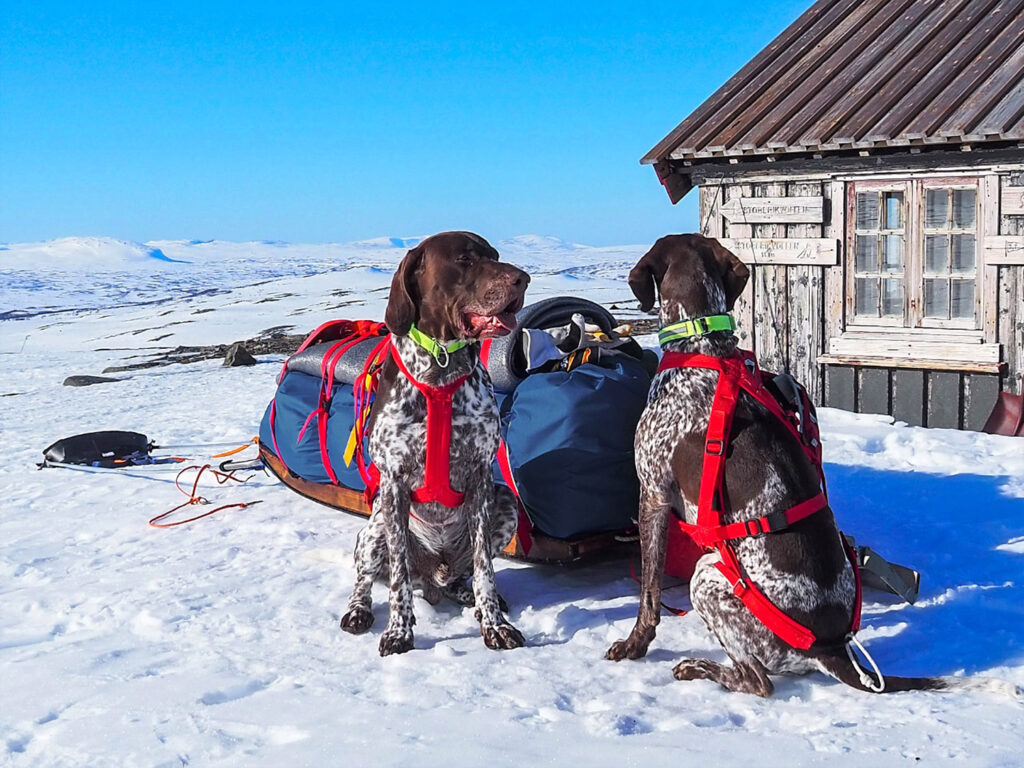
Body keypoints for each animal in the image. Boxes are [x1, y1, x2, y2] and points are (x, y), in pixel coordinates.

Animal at [342, 231, 528, 659]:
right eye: (464, 259)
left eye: (495, 255)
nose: (523, 279)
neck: (441, 368)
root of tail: (434, 576)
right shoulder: (393, 483)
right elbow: (397, 579)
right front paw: (398, 632)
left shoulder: (480, 477)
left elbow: (485, 569)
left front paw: (494, 625)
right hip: (373, 529)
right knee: (366, 579)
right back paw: (359, 610)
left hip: (505, 501)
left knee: (468, 573)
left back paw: (469, 594)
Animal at [602, 234, 1011, 696]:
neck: (703, 343)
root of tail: (832, 649)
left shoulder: (653, 494)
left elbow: (649, 594)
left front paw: (634, 645)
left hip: (707, 576)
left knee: (757, 681)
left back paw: (698, 667)